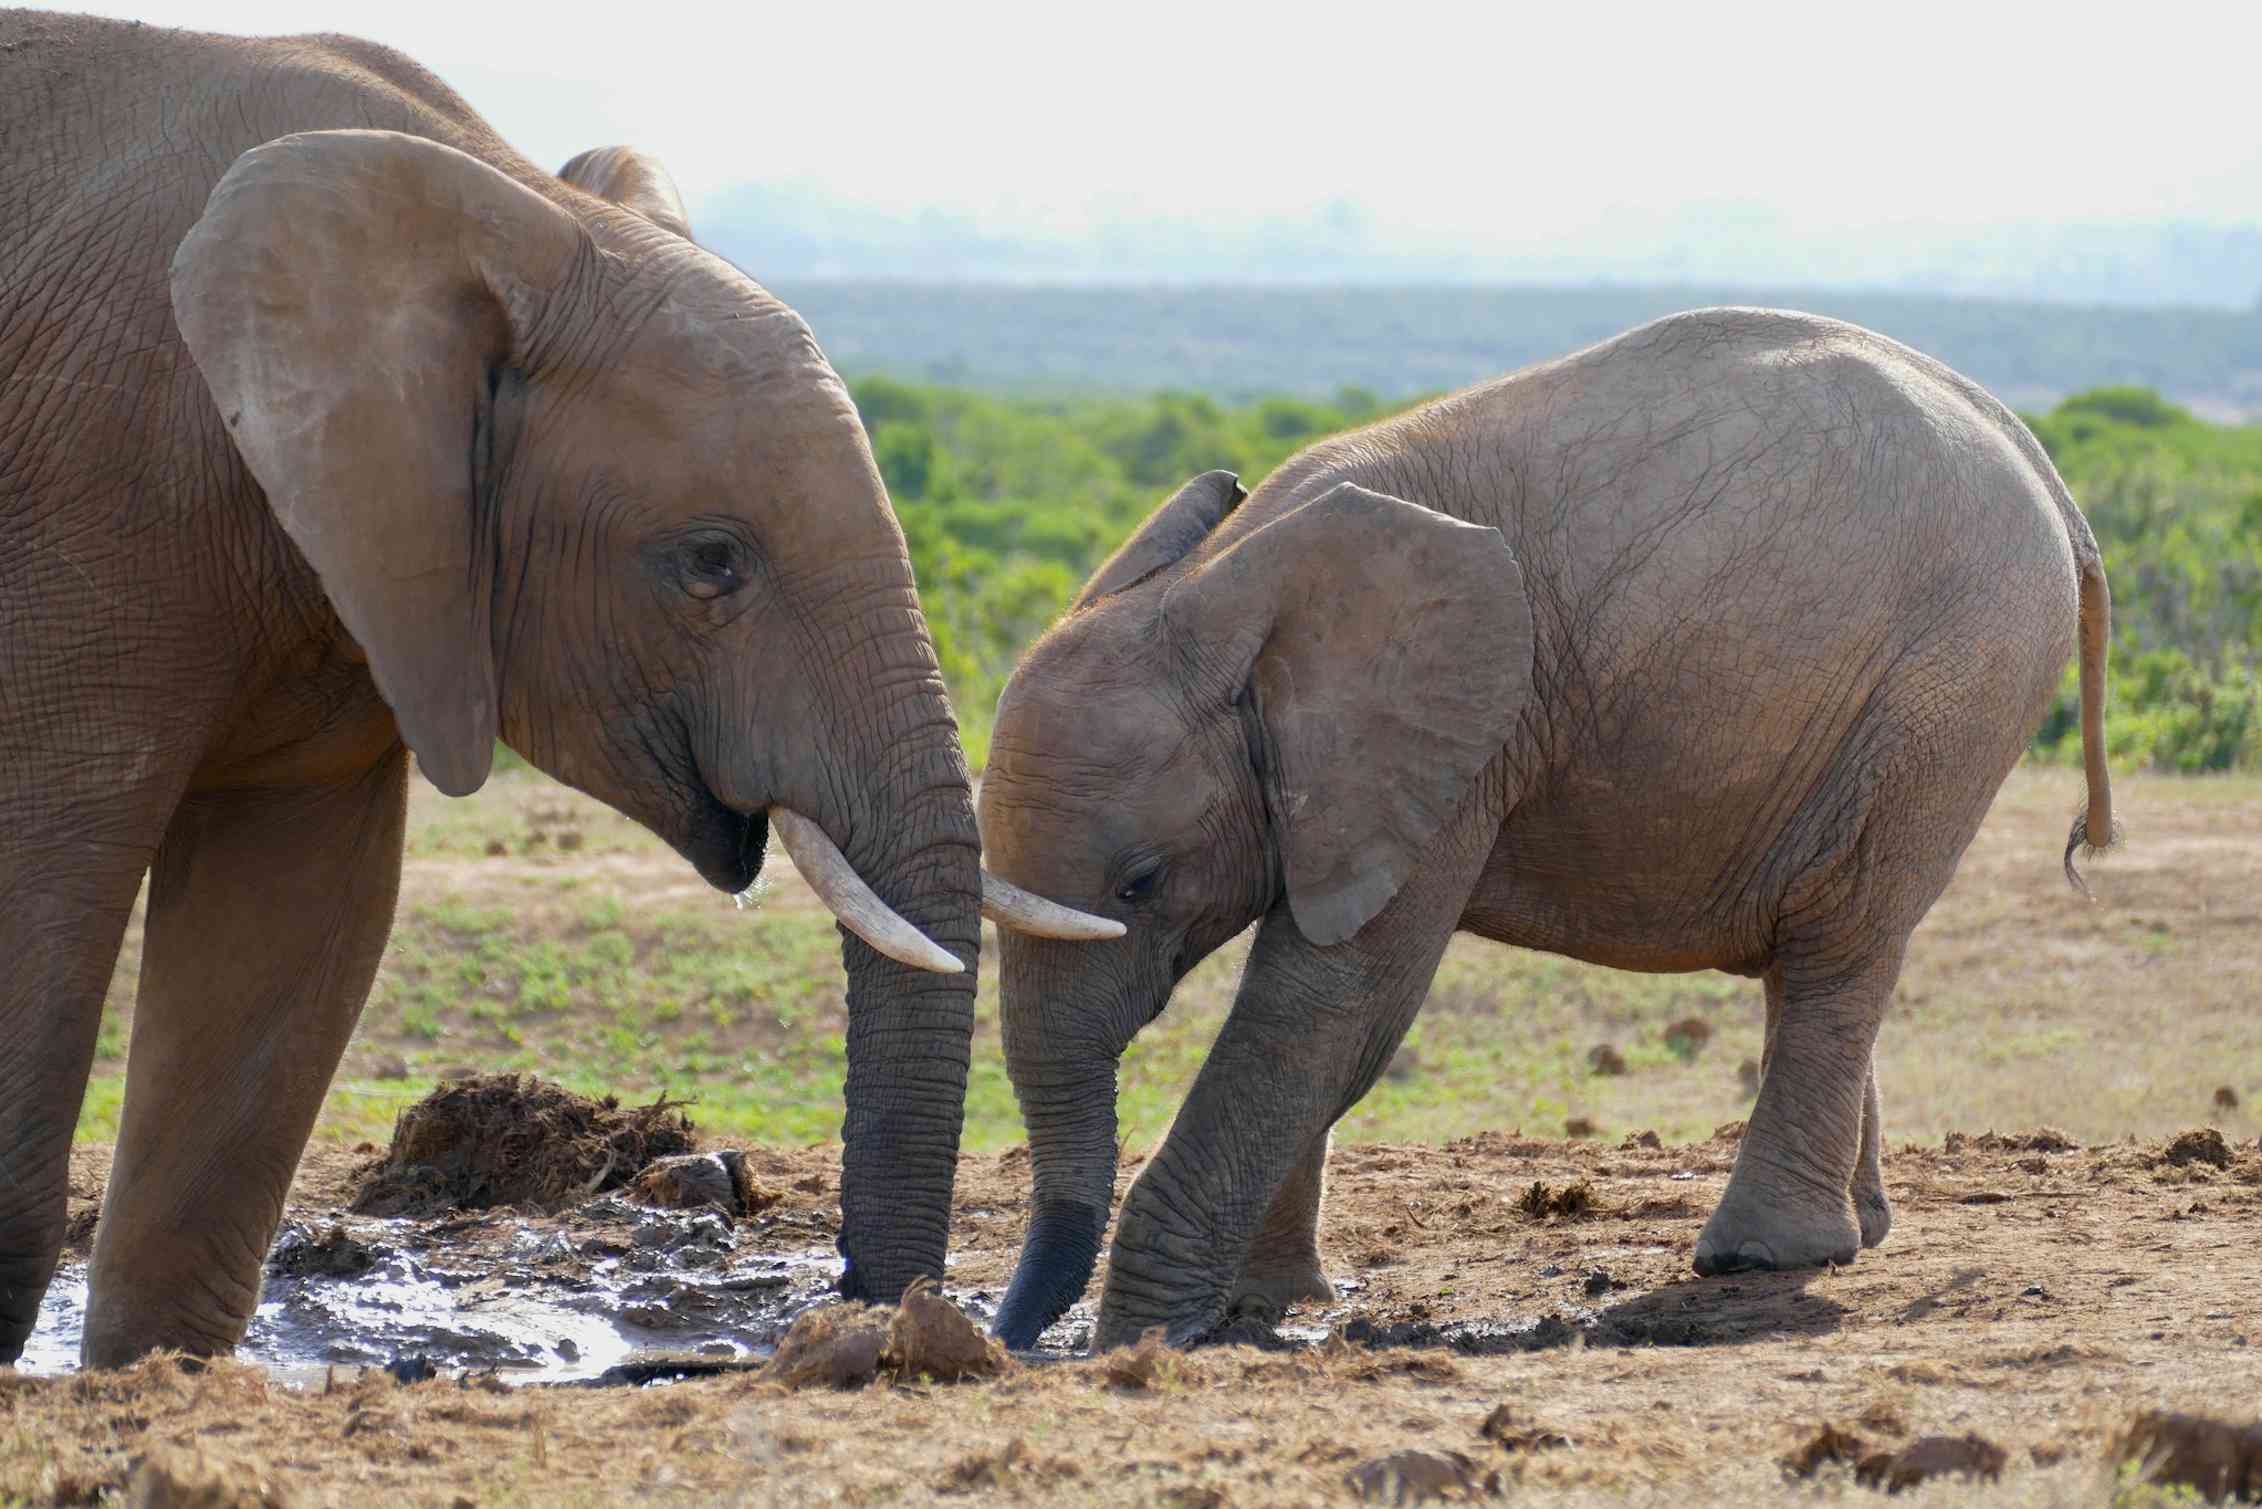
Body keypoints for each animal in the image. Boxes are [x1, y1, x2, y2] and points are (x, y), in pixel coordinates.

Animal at [977, 307, 2117, 1350]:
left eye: (1141, 880)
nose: (1008, 1338)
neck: (1224, 576)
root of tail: (2047, 474)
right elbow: (1321, 1005)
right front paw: (1265, 1308)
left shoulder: (1463, 745)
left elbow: (1333, 1005)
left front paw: (1146, 1338)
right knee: (1816, 951)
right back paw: (1855, 1235)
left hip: (1949, 691)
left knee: (1841, 939)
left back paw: (1760, 1256)